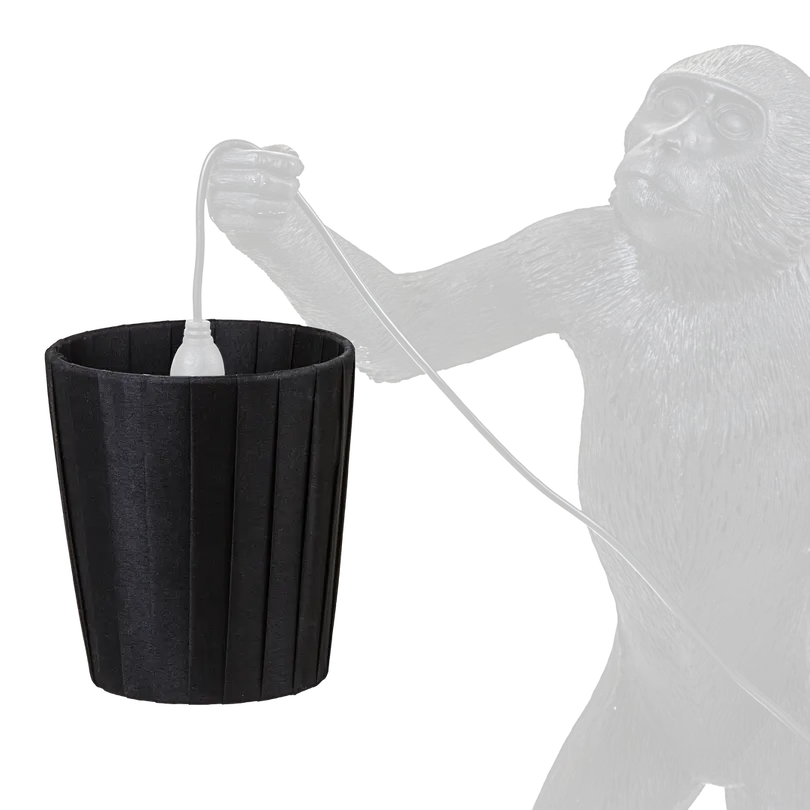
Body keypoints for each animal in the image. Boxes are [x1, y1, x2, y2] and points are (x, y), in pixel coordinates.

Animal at [207, 44, 810, 809]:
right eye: (673, 104)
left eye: (732, 124)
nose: (667, 143)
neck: (727, 272)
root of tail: (715, 760)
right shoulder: (576, 249)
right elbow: (408, 327)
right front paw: (262, 204)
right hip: (637, 719)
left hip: (781, 730)